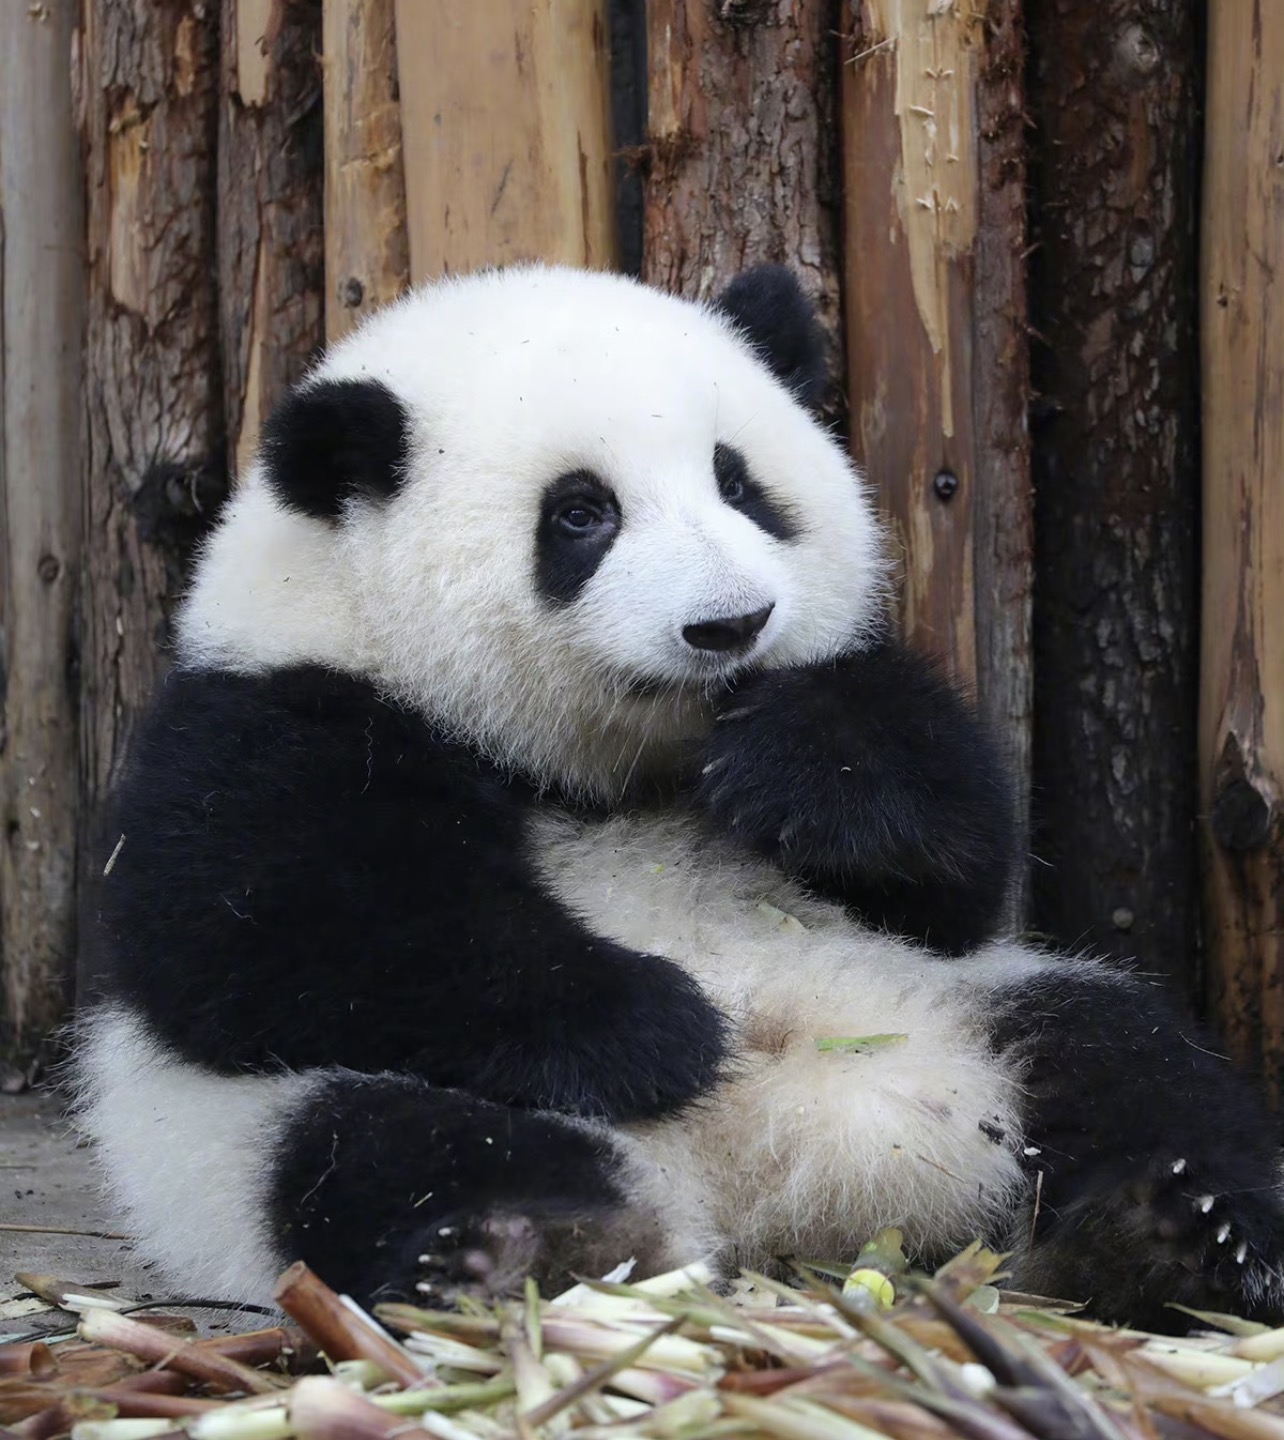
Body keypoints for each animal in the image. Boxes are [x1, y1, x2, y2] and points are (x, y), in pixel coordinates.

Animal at [76, 263, 1284, 1331]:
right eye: (580, 515)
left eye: (739, 483)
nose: (730, 625)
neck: (612, 770)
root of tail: (804, 1190)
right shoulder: (269, 715)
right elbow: (256, 935)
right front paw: (656, 1026)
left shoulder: (888, 788)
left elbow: (960, 870)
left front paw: (805, 766)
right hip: (260, 1127)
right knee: (382, 1143)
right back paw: (526, 1250)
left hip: (960, 1010)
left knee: (1128, 1060)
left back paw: (1185, 1232)